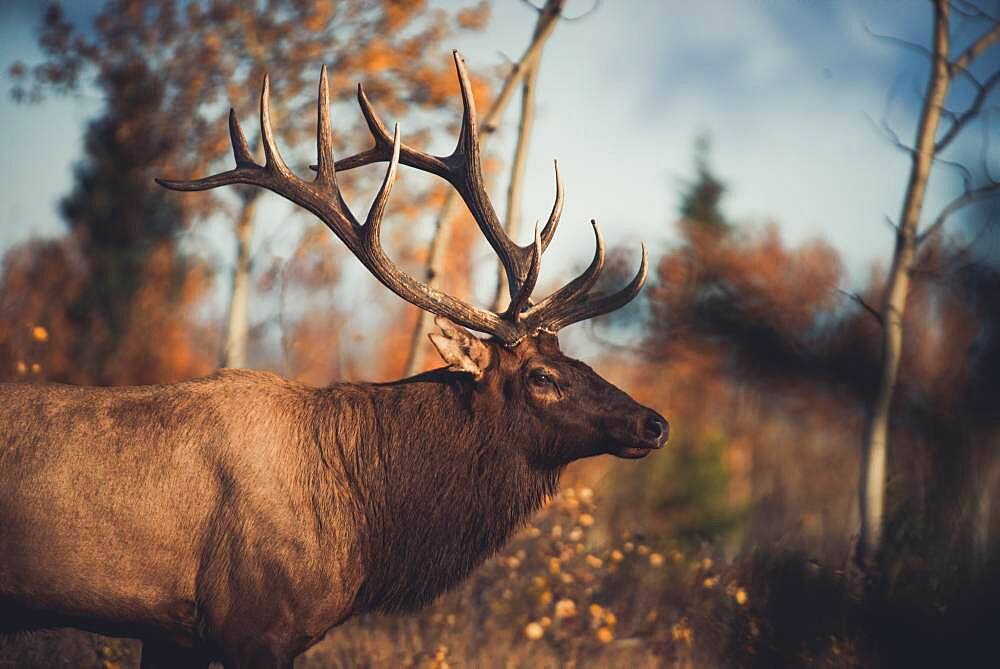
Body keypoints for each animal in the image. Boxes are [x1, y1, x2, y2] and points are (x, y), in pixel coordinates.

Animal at [1, 49, 672, 664]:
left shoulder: (171, 632)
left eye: (575, 359)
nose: (654, 422)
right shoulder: (255, 625)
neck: (364, 525)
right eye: (541, 375)